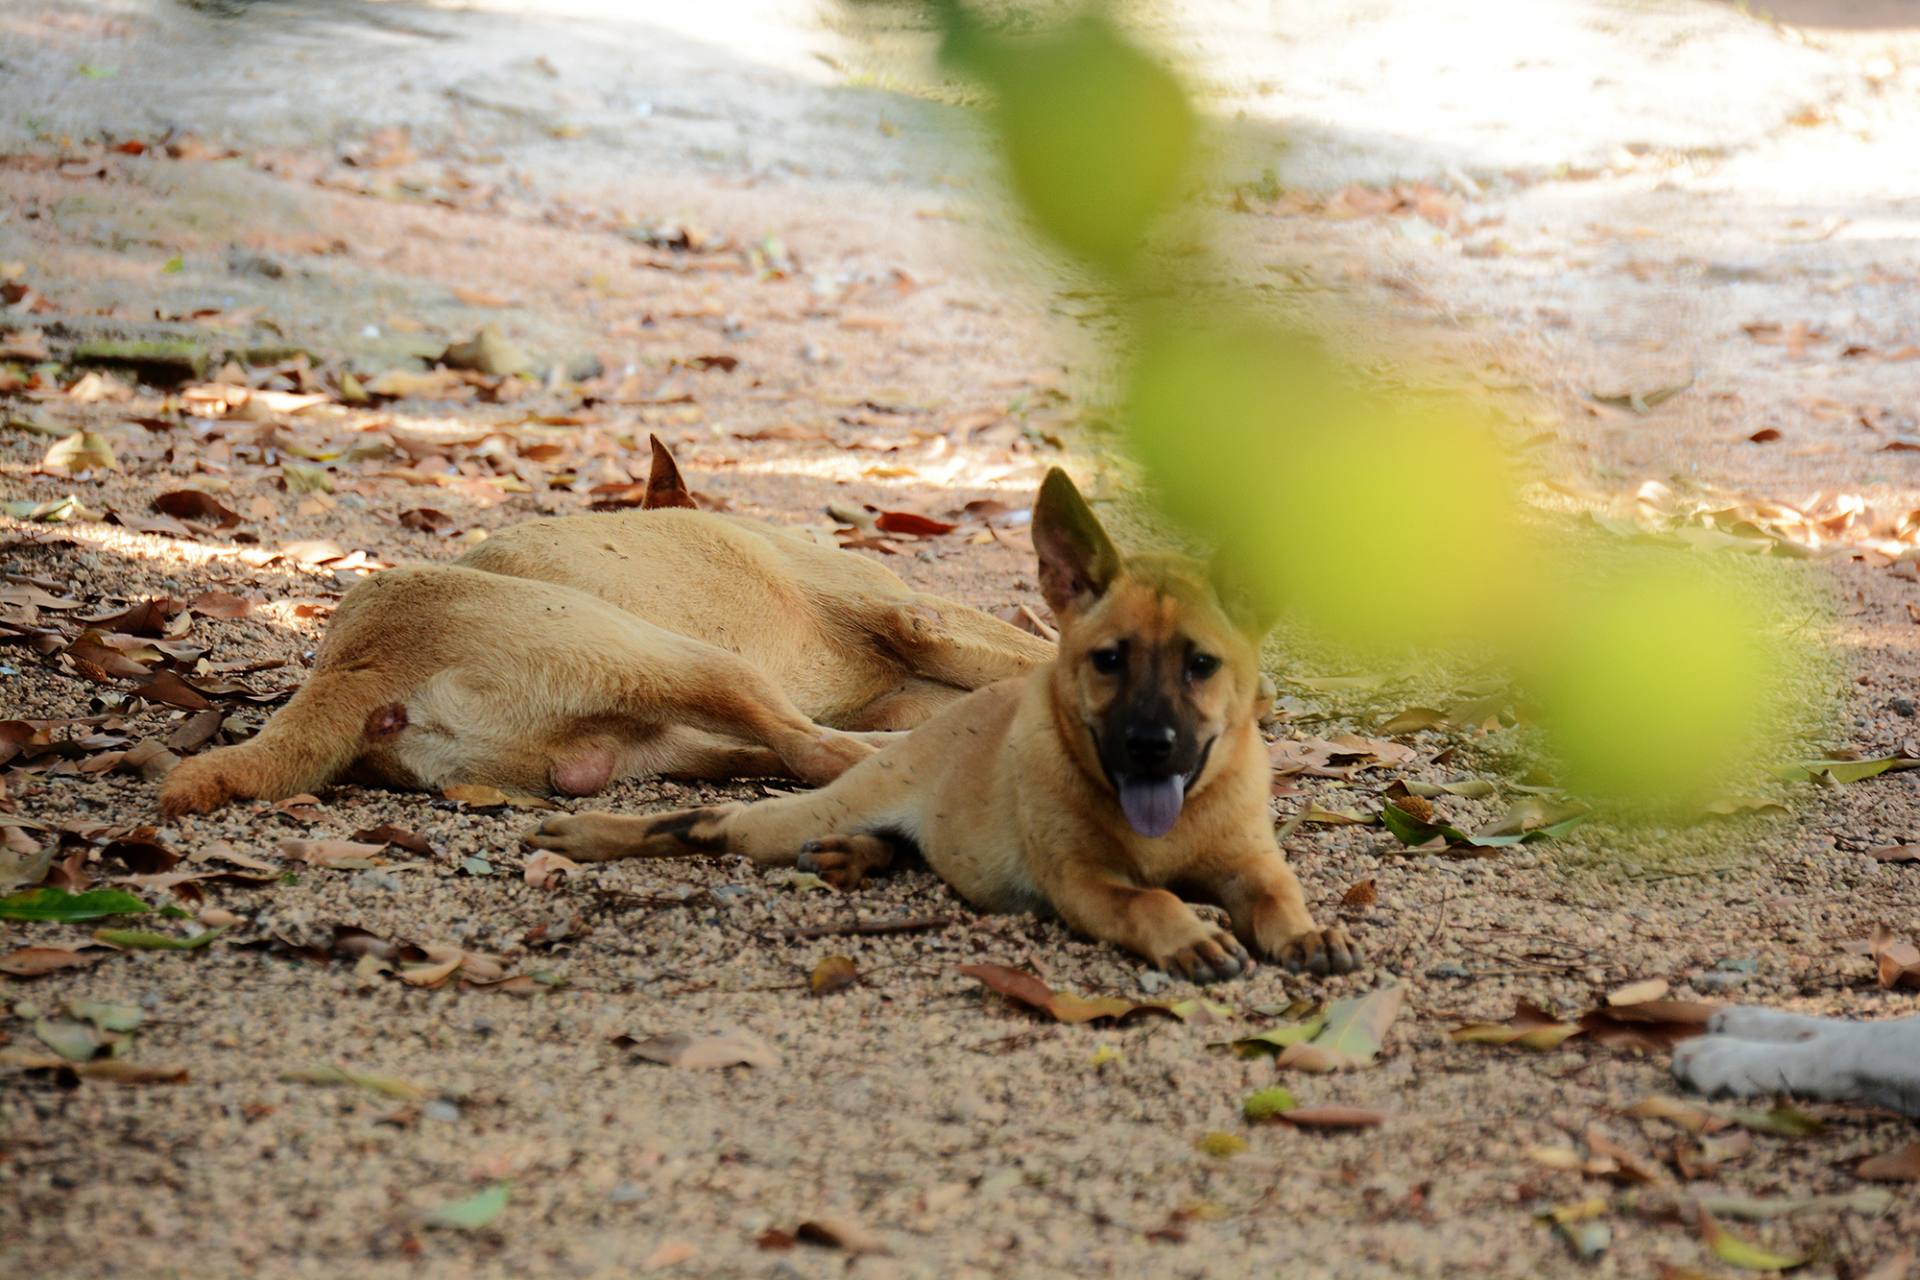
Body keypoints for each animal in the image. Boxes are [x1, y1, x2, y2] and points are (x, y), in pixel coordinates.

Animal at [159, 441, 1059, 817]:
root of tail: (350, 664)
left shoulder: (902, 679)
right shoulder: (916, 617)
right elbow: (1031, 649)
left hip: (662, 729)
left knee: (793, 748)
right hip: (678, 658)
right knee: (814, 753)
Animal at [529, 470, 1367, 982]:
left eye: (1201, 664)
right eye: (1107, 660)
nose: (1150, 747)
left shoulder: (1252, 862)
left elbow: (1279, 894)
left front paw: (1307, 931)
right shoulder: (1083, 883)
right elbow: (1149, 901)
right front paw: (1192, 933)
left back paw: (854, 855)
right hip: (813, 801)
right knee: (716, 820)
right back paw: (586, 835)